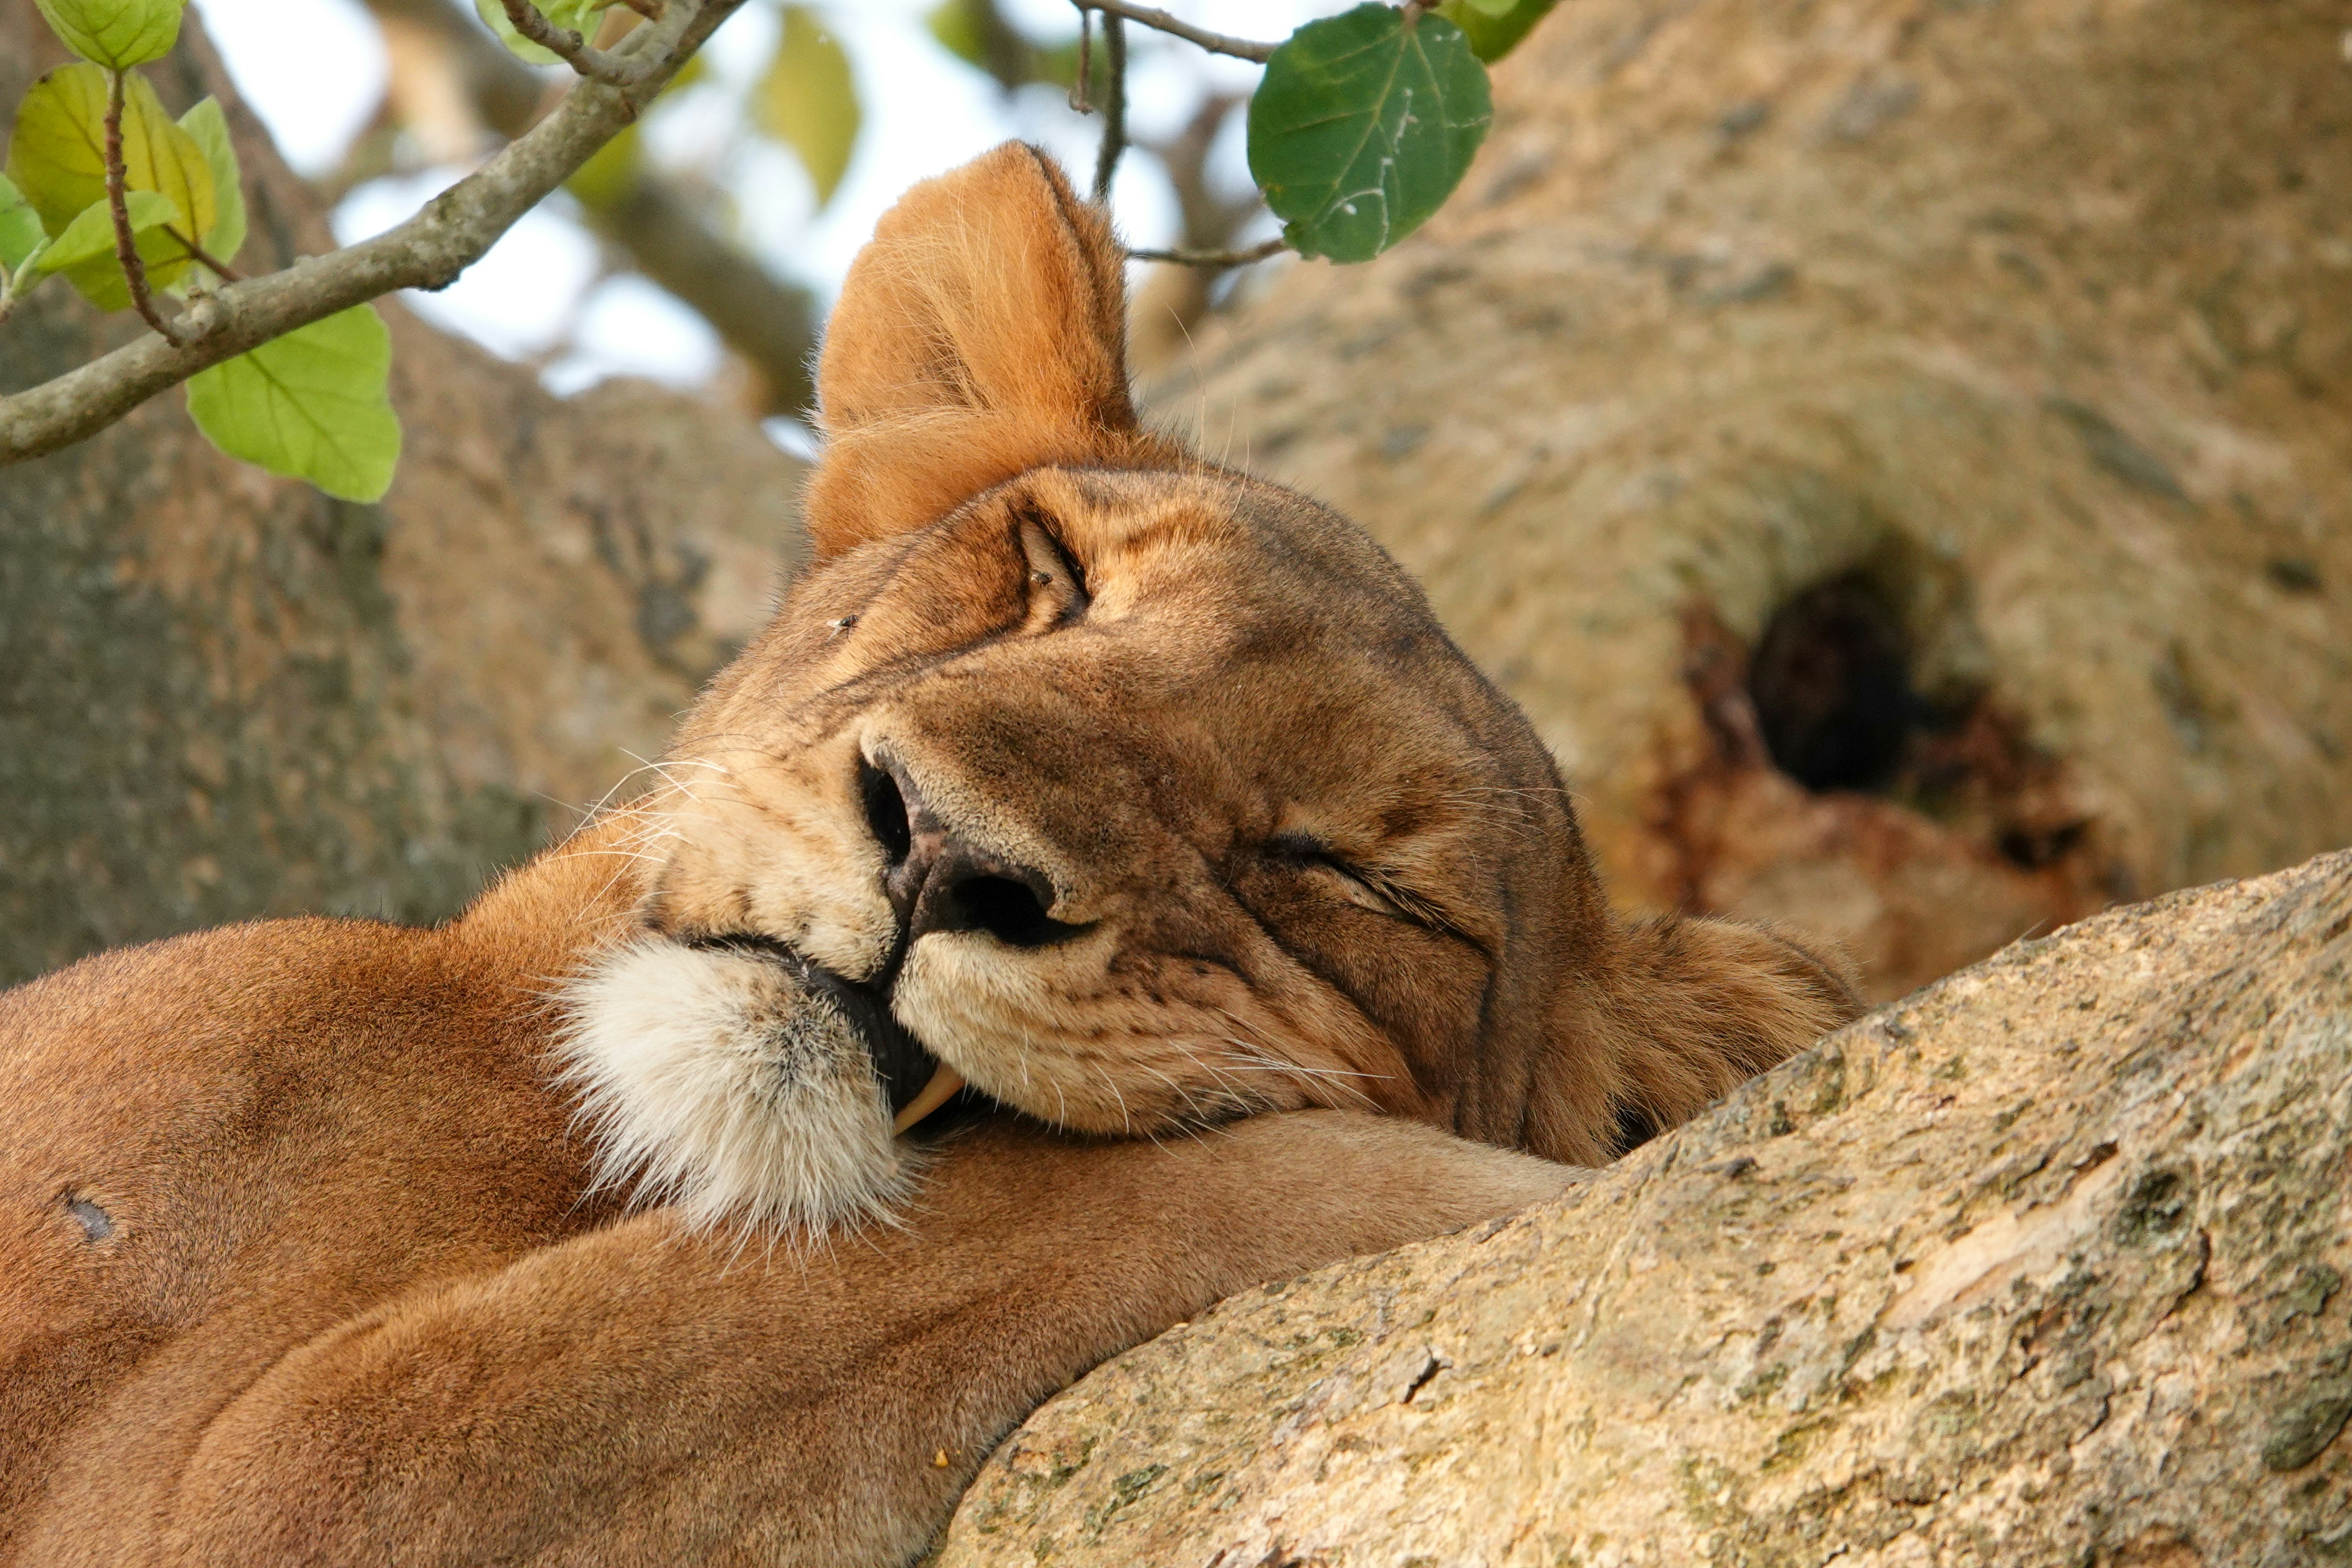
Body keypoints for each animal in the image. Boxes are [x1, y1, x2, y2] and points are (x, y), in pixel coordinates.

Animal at [0, 145, 1858, 1566]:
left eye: (1349, 876)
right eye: (1056, 575)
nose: (946, 853)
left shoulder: (210, 1474)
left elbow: (928, 1241)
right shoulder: (217, 1489)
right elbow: (1040, 1221)